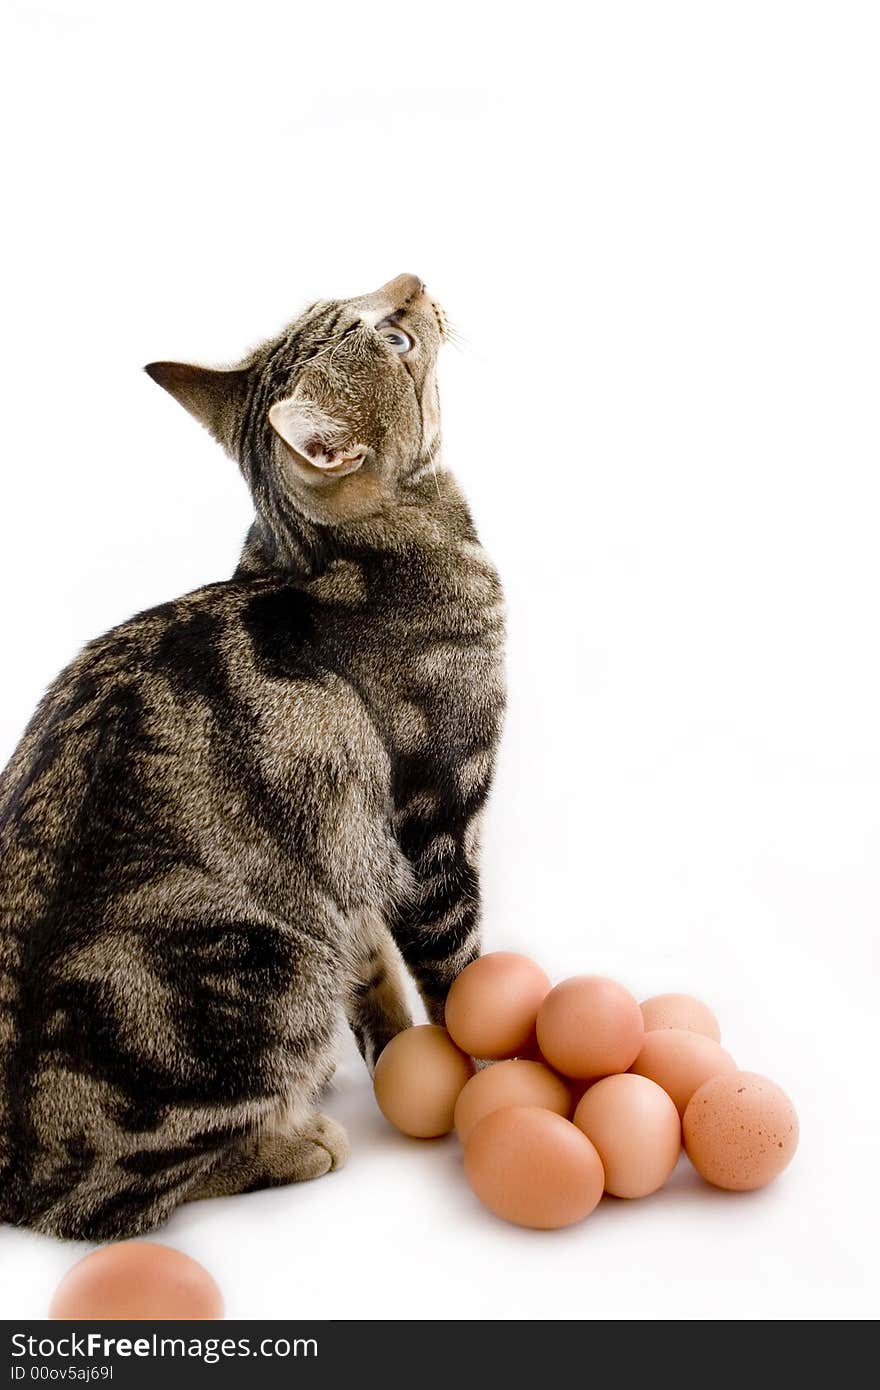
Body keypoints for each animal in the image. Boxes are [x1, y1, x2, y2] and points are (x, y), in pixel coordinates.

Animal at [0, 271, 503, 1239]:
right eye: (392, 339)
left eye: (369, 299)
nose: (412, 281)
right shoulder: (433, 827)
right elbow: (460, 976)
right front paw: (505, 1072)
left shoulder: (351, 855)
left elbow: (374, 973)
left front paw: (398, 1053)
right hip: (257, 969)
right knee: (108, 1204)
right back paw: (292, 1142)